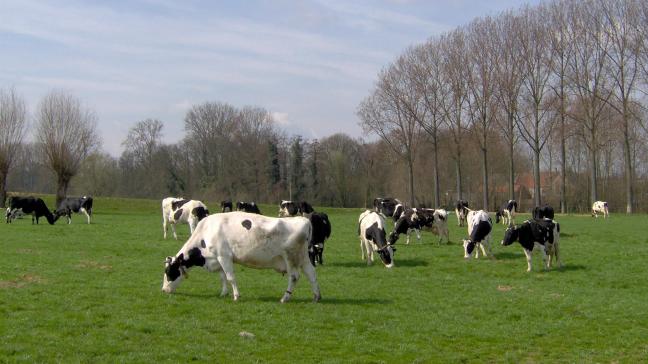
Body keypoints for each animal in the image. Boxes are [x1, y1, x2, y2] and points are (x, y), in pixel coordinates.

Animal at [163, 212, 320, 302]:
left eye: (169, 272)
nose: (164, 290)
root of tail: (303, 220)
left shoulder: (224, 256)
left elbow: (230, 277)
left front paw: (236, 296)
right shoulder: (218, 258)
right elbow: (223, 277)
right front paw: (223, 293)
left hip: (291, 257)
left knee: (294, 277)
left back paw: (285, 298)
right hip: (303, 258)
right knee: (312, 274)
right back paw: (316, 296)